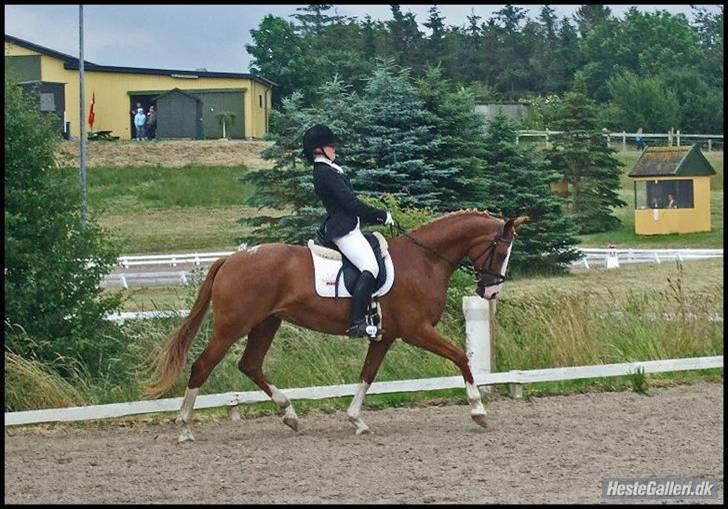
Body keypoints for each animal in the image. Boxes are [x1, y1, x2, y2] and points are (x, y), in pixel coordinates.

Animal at [145, 208, 528, 438]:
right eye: (501, 250)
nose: (491, 291)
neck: (424, 261)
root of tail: (230, 259)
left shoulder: (385, 337)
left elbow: (368, 374)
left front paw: (356, 419)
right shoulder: (416, 330)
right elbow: (461, 357)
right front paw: (478, 410)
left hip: (266, 323)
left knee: (250, 364)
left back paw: (289, 414)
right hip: (232, 326)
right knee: (202, 365)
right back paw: (184, 427)